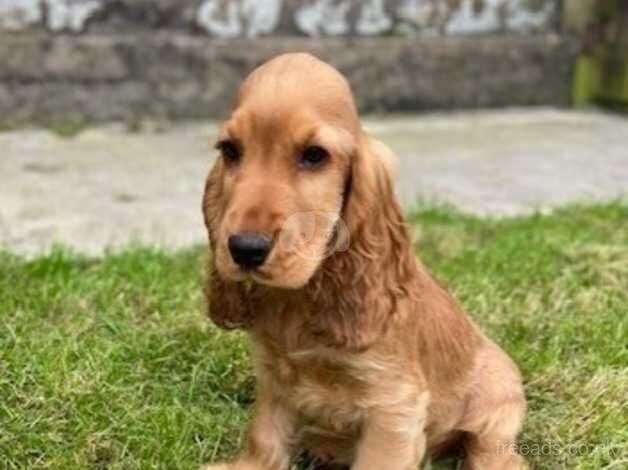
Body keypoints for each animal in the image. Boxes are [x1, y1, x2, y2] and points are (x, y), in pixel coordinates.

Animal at [201, 53, 524, 468]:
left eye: (314, 156)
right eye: (230, 150)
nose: (245, 248)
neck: (302, 299)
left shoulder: (393, 402)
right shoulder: (275, 378)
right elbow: (265, 439)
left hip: (500, 395)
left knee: (494, 450)